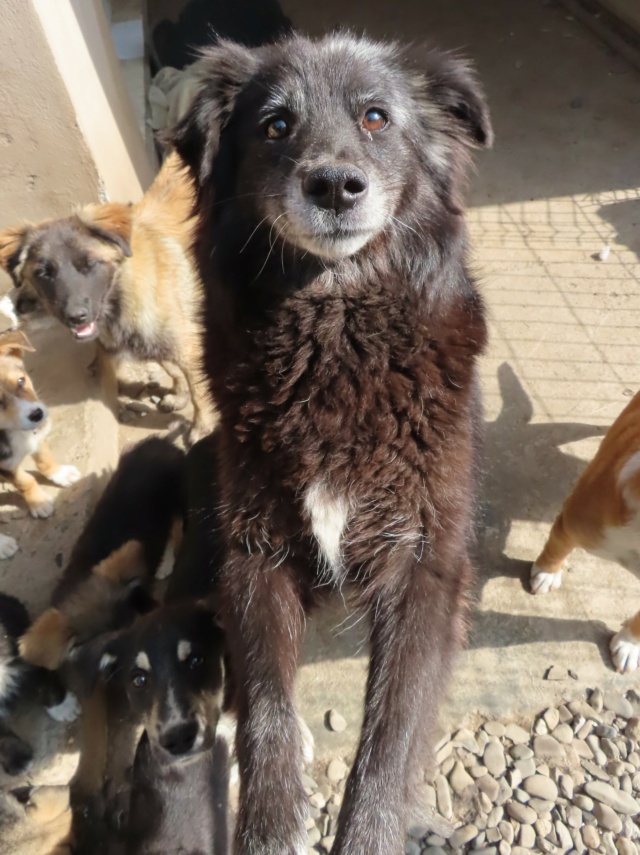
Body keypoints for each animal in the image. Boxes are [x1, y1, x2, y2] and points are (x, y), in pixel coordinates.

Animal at [0, 155, 215, 444]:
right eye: (43, 273)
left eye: (90, 264)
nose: (75, 317)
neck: (120, 300)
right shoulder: (149, 342)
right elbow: (169, 367)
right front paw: (178, 395)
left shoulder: (188, 346)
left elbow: (199, 391)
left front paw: (202, 426)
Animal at [169, 31, 490, 855]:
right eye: (275, 125)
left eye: (376, 117)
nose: (335, 186)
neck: (335, 335)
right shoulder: (253, 552)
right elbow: (268, 711)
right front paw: (270, 826)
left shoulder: (426, 564)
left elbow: (390, 734)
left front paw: (373, 829)